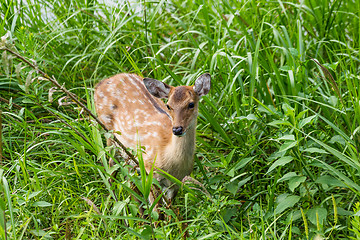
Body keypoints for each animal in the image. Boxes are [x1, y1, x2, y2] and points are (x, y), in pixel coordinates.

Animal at [94, 72, 211, 202]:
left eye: (191, 104)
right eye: (168, 106)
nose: (177, 129)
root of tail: (100, 84)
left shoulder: (177, 182)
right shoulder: (150, 170)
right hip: (108, 132)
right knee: (110, 166)